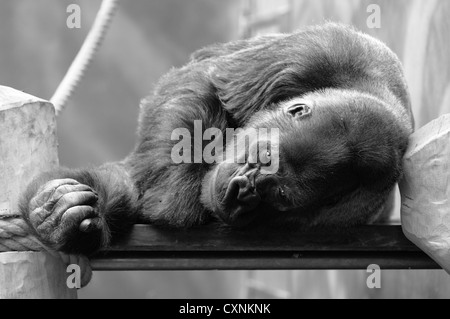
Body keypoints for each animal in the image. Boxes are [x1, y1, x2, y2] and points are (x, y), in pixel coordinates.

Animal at [19, 23, 414, 256]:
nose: (242, 190)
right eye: (263, 157)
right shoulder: (323, 50)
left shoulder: (353, 213)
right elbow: (204, 83)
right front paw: (171, 201)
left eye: (279, 197)